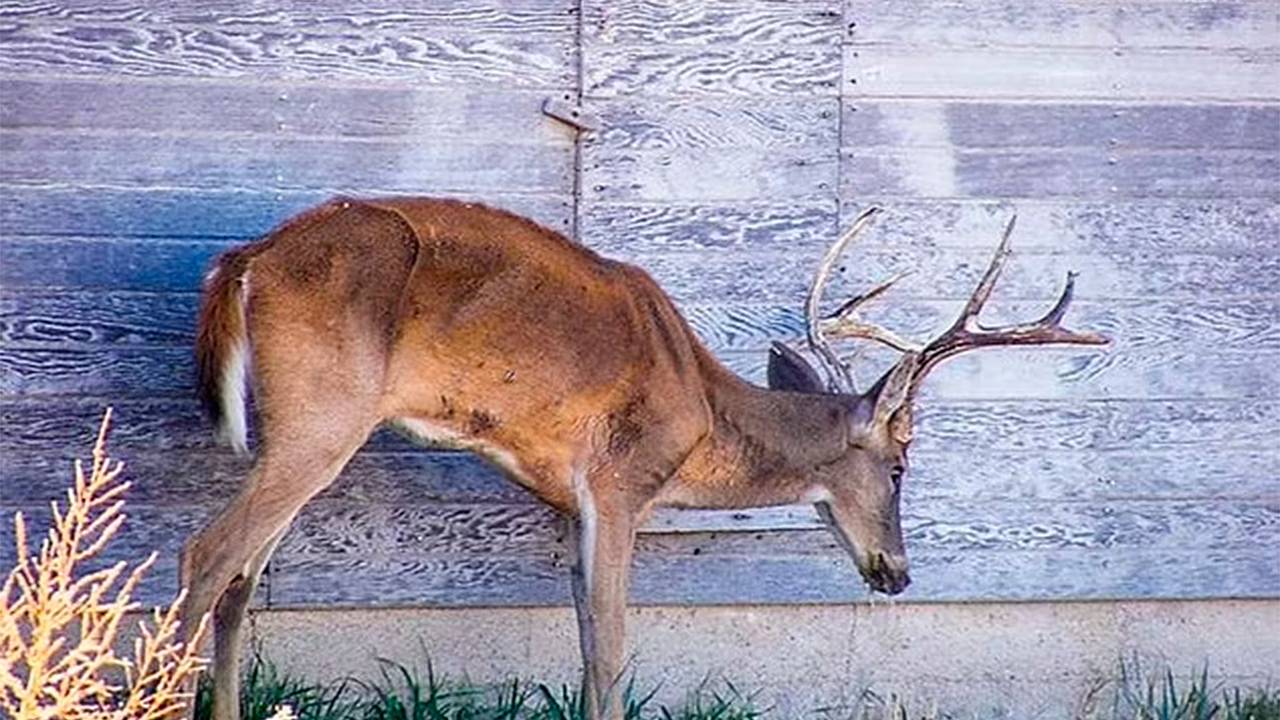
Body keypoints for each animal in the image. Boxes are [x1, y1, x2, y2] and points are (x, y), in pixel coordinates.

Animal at [183, 196, 1111, 717]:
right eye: (901, 465)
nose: (898, 573)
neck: (700, 412)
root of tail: (243, 263)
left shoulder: (569, 503)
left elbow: (586, 637)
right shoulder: (622, 483)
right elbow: (613, 645)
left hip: (304, 427)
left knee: (241, 578)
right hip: (324, 411)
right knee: (209, 554)